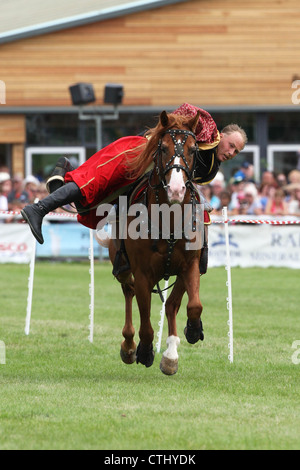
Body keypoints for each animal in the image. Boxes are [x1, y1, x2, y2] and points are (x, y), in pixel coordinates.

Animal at [107, 110, 204, 374]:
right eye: (163, 148)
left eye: (193, 149)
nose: (176, 189)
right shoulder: (142, 273)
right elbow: (146, 323)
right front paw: (143, 349)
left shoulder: (189, 265)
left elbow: (191, 306)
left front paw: (192, 331)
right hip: (122, 265)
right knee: (128, 291)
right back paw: (129, 345)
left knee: (169, 305)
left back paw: (170, 352)